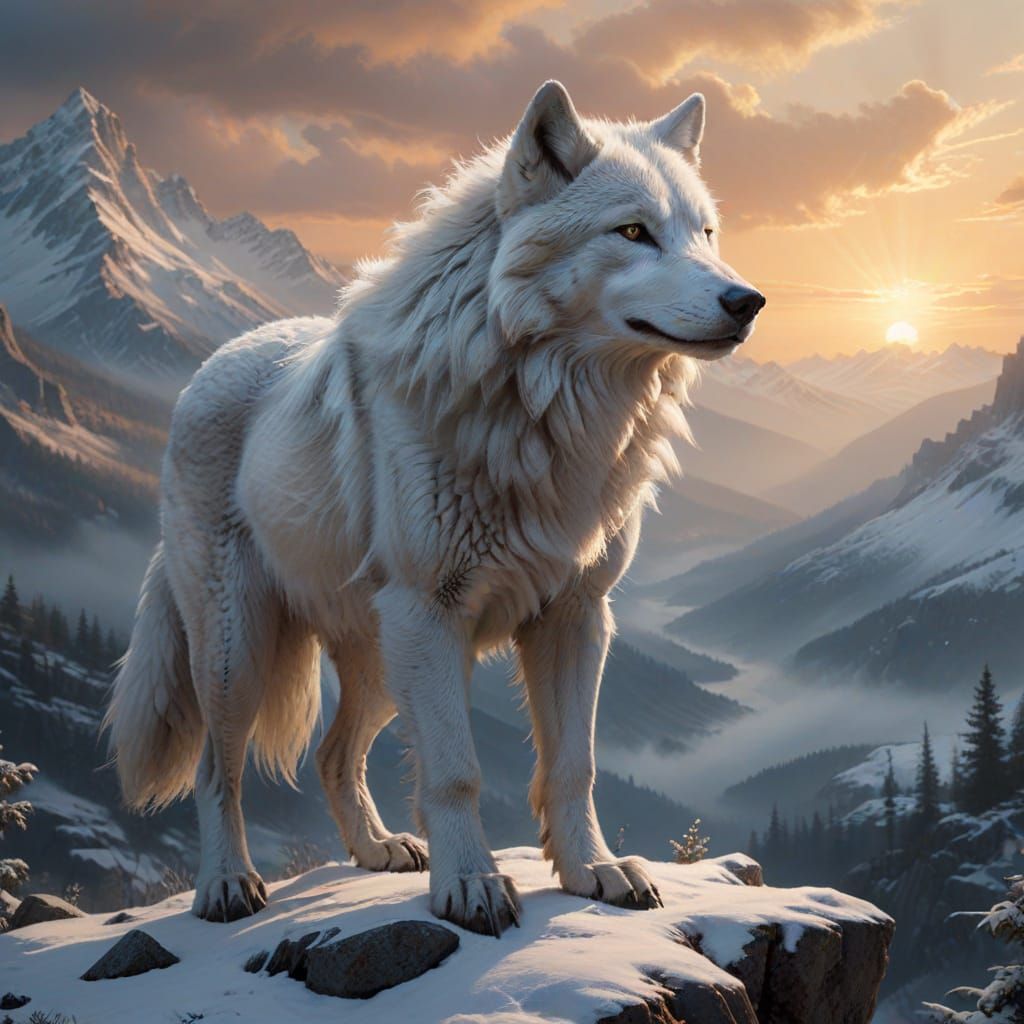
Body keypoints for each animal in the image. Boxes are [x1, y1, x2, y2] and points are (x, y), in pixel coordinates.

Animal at [105, 81, 764, 936]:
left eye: (705, 232)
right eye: (633, 232)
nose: (748, 300)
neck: (541, 410)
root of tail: (208, 366)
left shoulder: (577, 615)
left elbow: (574, 765)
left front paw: (593, 872)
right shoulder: (432, 612)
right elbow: (456, 771)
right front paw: (471, 886)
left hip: (384, 661)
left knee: (333, 754)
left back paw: (379, 850)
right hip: (240, 647)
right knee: (219, 768)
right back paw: (225, 884)